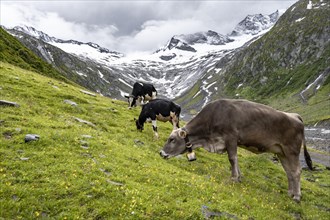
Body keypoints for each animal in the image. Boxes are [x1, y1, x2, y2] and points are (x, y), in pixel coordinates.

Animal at [161, 99, 314, 202]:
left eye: (172, 139)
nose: (161, 153)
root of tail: (295, 116)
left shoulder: (231, 137)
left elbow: (232, 158)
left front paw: (234, 178)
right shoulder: (233, 142)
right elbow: (235, 159)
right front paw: (239, 177)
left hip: (292, 150)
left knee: (296, 171)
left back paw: (297, 196)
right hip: (282, 152)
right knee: (289, 172)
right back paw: (290, 193)